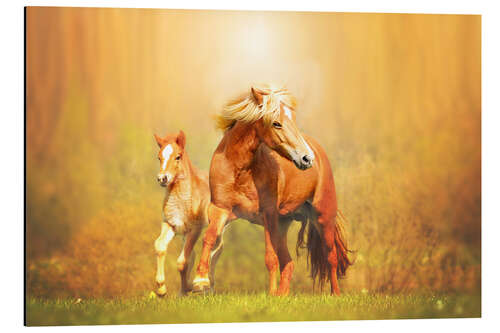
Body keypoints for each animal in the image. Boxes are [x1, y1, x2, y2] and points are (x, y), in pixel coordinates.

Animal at [191, 85, 352, 294]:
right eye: (276, 123)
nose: (307, 158)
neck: (239, 170)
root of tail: (318, 151)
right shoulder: (220, 209)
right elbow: (209, 237)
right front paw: (200, 281)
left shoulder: (268, 214)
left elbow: (270, 258)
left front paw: (270, 295)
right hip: (283, 224)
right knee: (289, 263)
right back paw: (283, 295)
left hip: (323, 216)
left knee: (330, 257)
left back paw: (335, 295)